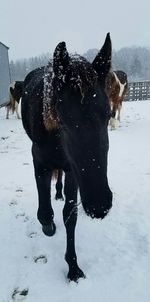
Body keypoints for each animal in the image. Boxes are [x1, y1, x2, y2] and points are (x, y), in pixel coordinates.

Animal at [21, 33, 112, 284]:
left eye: (109, 115)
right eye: (62, 120)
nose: (99, 205)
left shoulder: (73, 170)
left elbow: (70, 216)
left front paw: (73, 267)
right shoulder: (39, 163)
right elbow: (45, 213)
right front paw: (48, 228)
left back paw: (59, 193)